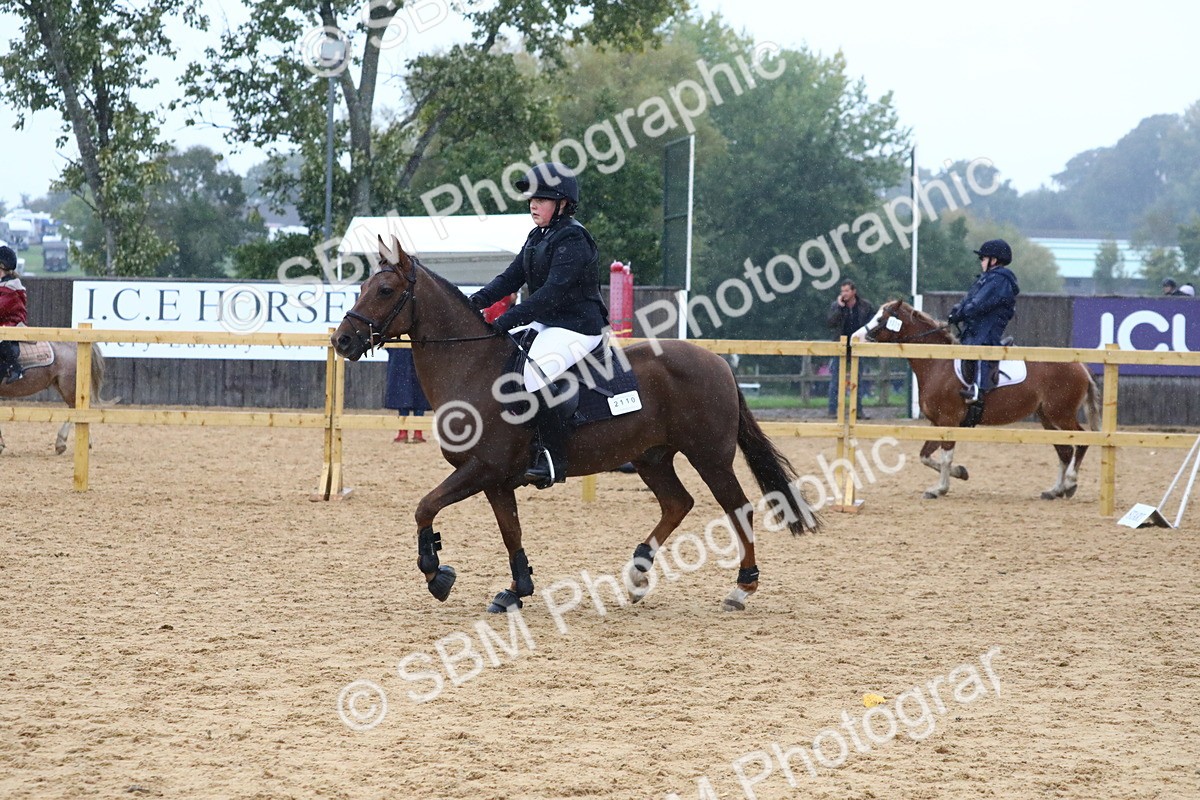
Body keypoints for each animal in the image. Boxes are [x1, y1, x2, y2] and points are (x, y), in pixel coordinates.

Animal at [332, 240, 818, 613]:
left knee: (739, 509)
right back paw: (637, 575)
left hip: (710, 456)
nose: (342, 340)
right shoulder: (496, 480)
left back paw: (742, 587)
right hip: (652, 458)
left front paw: (437, 574)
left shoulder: (482, 470)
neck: (472, 366)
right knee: (678, 503)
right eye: (363, 287)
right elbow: (510, 531)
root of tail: (717, 362)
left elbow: (425, 507)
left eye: (385, 289)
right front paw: (516, 591)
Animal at [853, 300, 1099, 500]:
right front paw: (960, 473)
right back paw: (1055, 490)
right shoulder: (937, 423)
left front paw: (940, 488)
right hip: (1047, 417)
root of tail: (1081, 366)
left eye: (881, 319)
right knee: (1065, 451)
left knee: (1082, 441)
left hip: (1061, 414)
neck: (937, 364)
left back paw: (1069, 483)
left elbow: (945, 456)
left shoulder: (949, 421)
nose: (855, 337)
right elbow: (925, 455)